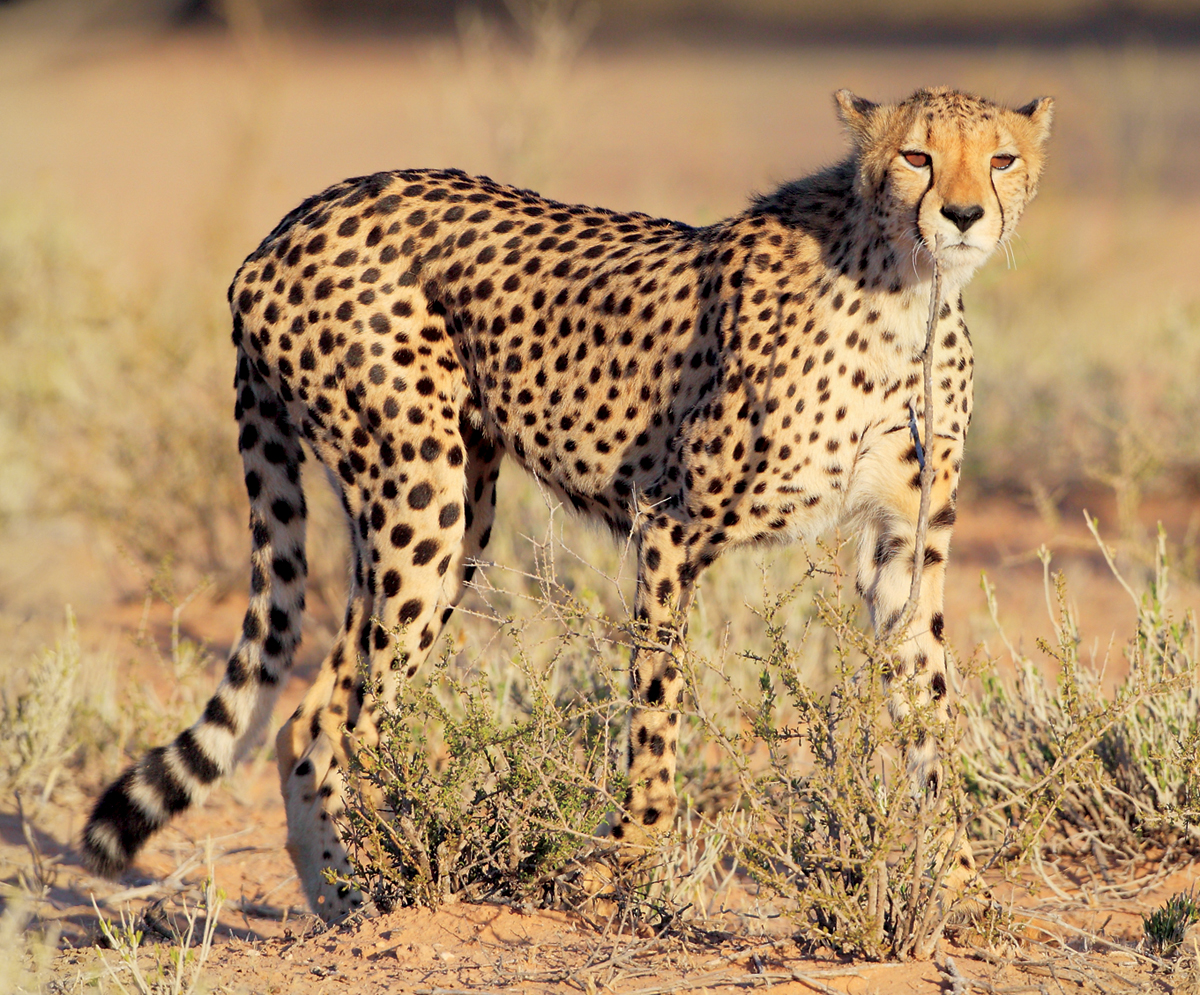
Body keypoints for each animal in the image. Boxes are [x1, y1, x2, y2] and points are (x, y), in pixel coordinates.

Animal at [84, 85, 1056, 916]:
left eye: (1001, 159)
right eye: (918, 156)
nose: (963, 214)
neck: (907, 291)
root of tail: (288, 226)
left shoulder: (905, 542)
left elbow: (930, 709)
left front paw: (961, 882)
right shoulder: (670, 521)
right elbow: (658, 710)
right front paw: (627, 863)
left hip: (451, 511)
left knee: (316, 712)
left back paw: (346, 896)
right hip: (420, 491)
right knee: (341, 720)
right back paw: (380, 887)